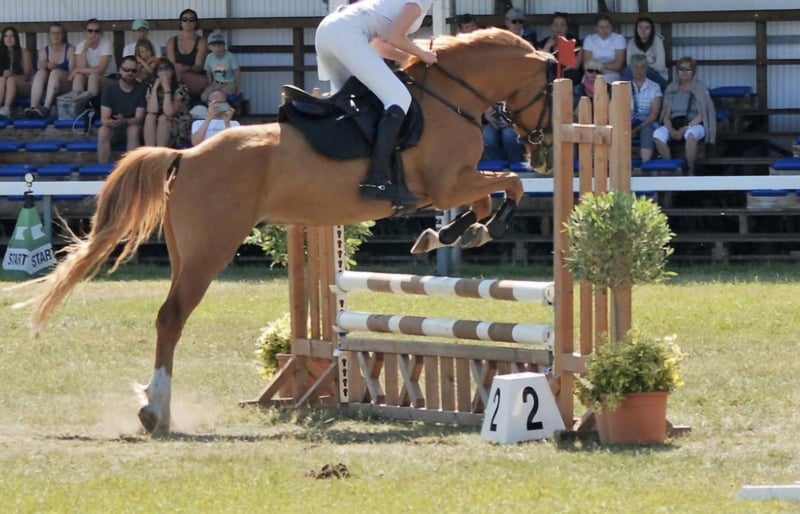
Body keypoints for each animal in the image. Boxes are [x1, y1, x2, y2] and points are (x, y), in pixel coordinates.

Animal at [24, 28, 553, 433]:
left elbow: (485, 198)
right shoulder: (447, 185)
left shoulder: (452, 187)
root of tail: (187, 155)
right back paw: (157, 411)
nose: (542, 153)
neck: (452, 98)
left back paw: (157, 409)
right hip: (208, 251)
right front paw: (482, 228)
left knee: (168, 316)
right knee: (171, 317)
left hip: (185, 250)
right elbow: (508, 185)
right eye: (552, 91)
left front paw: (450, 235)